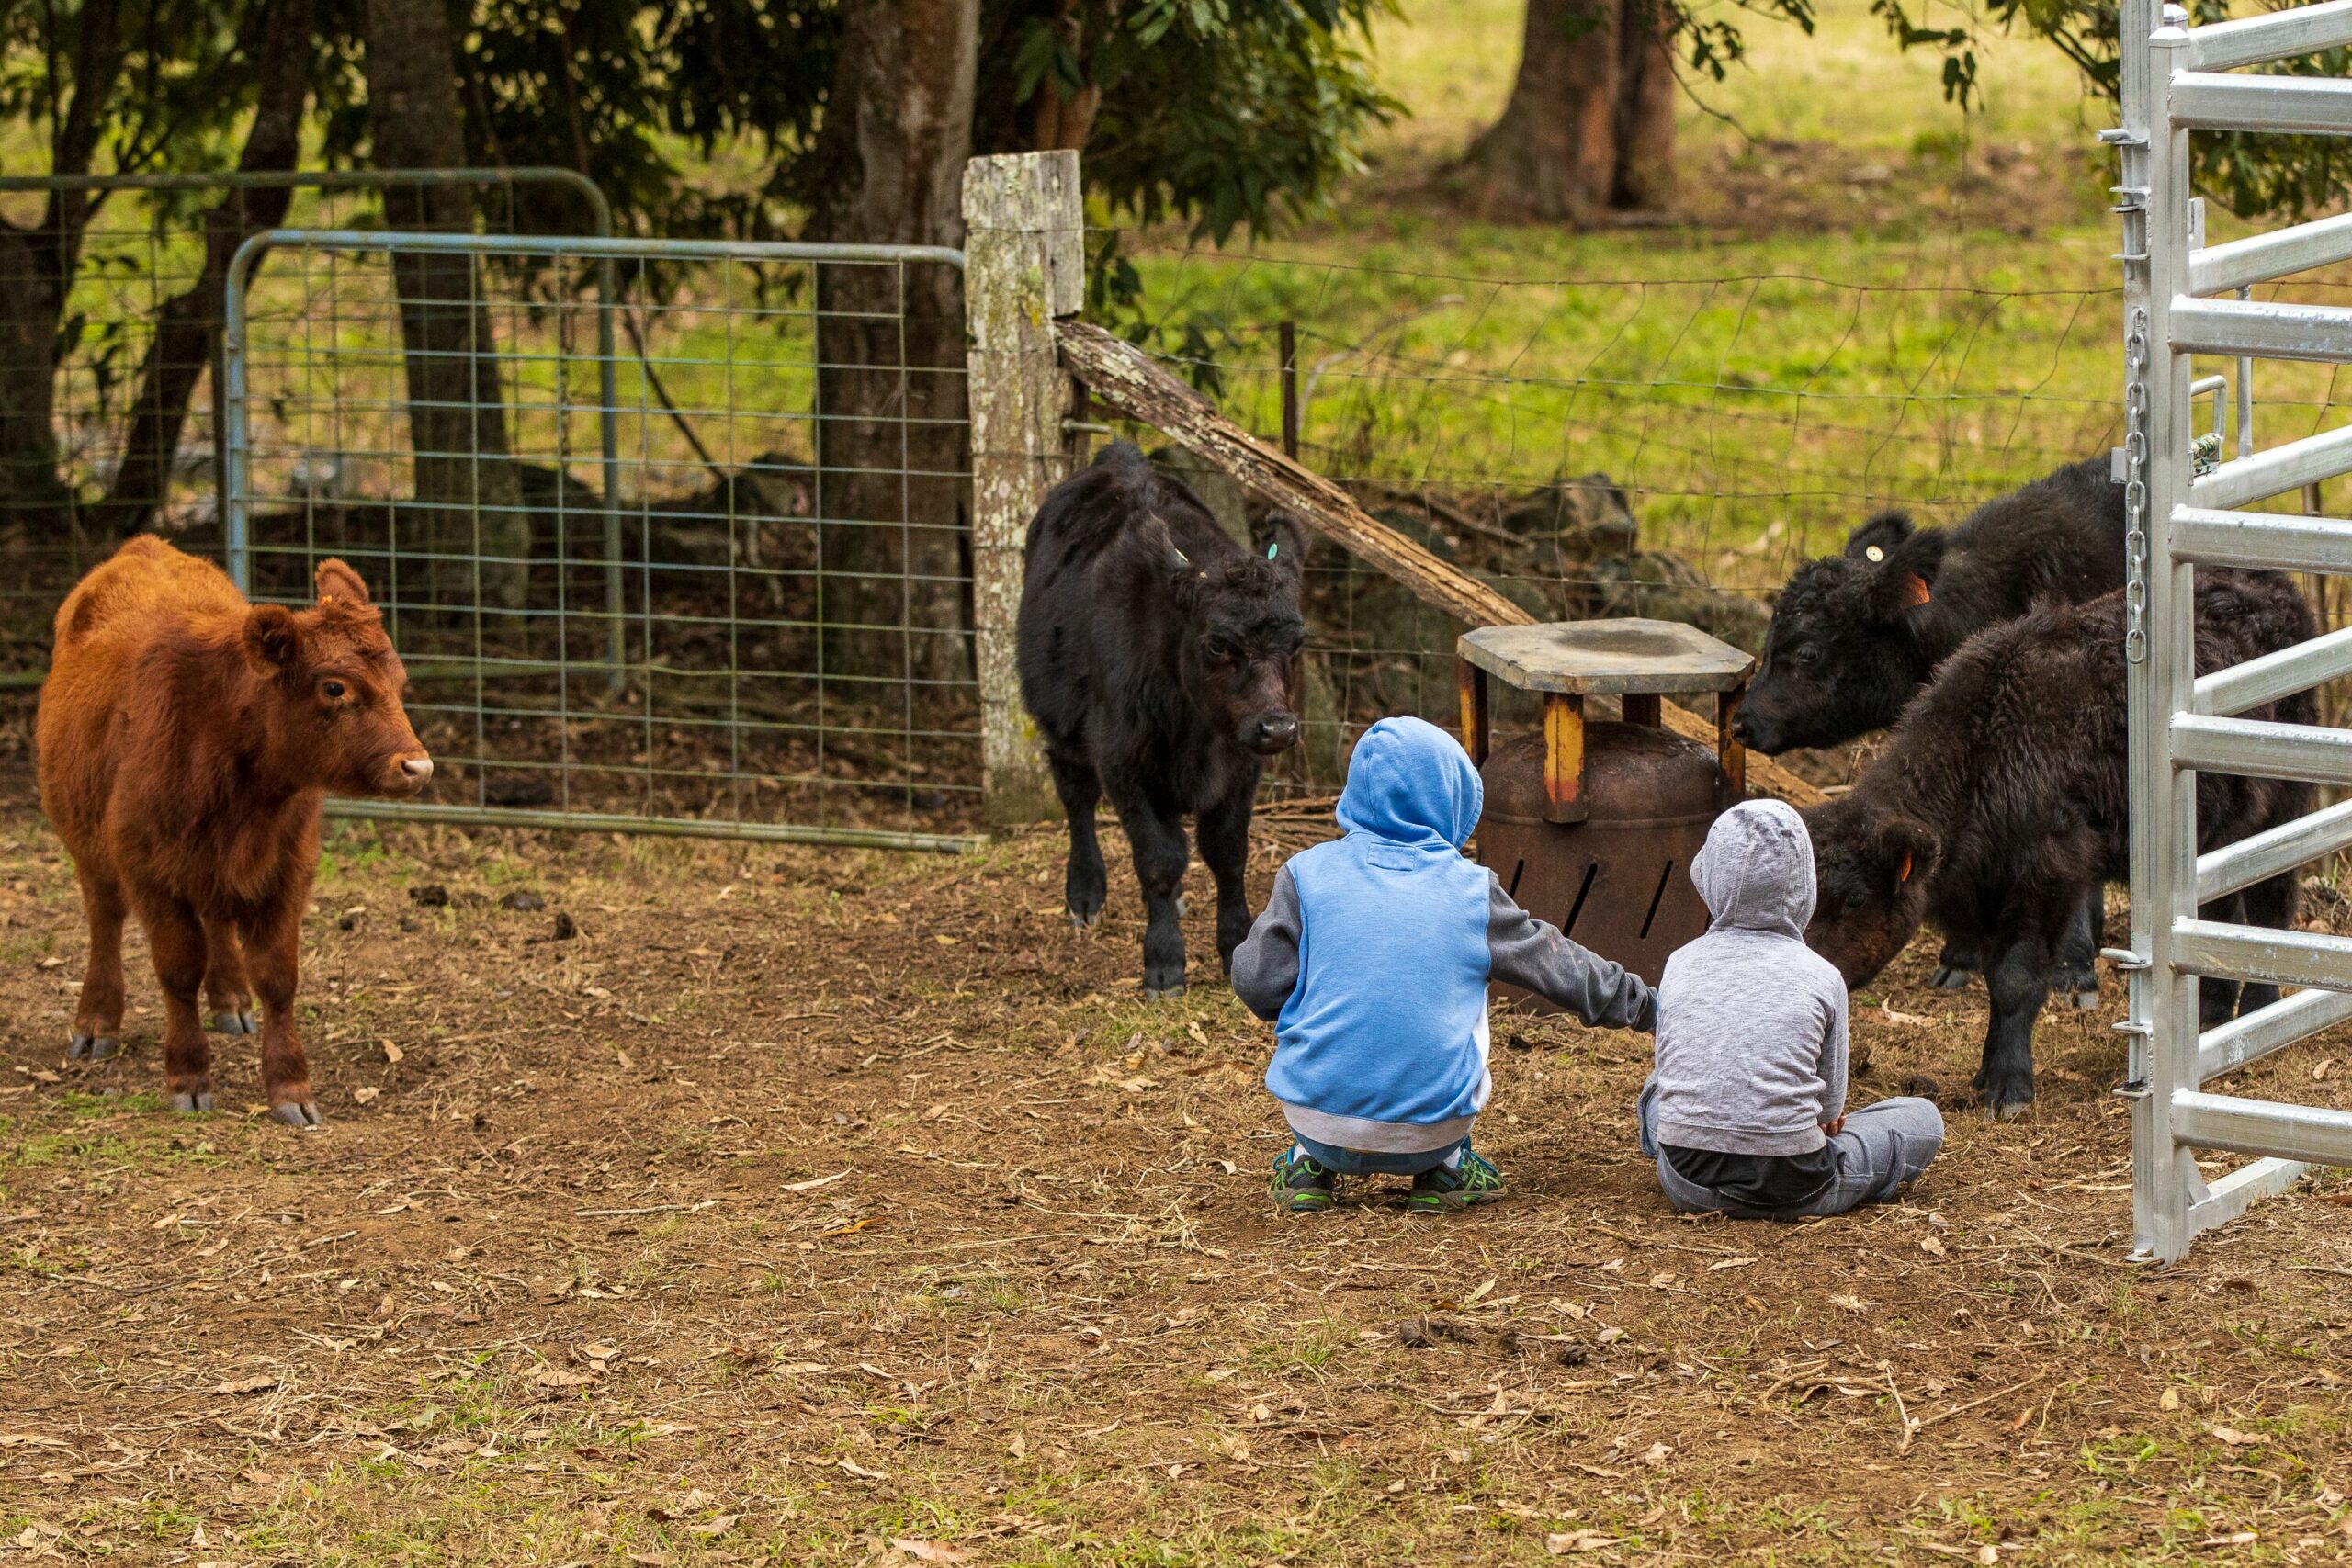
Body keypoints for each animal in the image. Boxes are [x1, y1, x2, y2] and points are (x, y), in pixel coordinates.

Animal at [37, 543, 433, 1128]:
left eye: (401, 683)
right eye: (334, 687)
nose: (417, 767)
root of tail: (143, 546)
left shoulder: (287, 866)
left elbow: (277, 976)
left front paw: (291, 1085)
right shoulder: (149, 870)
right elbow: (178, 971)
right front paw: (188, 1076)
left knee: (217, 922)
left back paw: (229, 1000)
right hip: (87, 843)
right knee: (105, 921)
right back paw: (96, 1022)